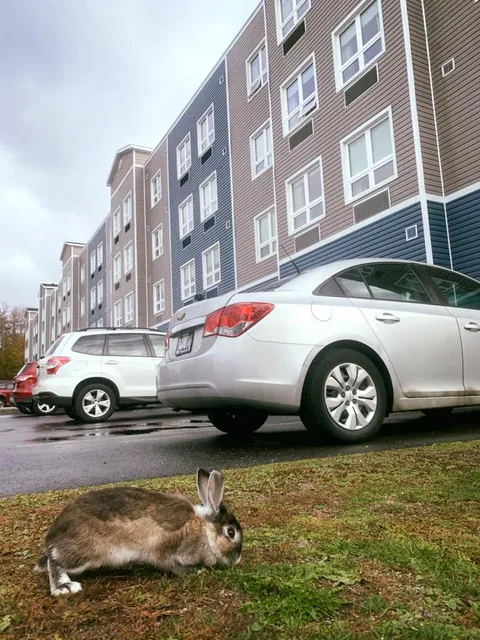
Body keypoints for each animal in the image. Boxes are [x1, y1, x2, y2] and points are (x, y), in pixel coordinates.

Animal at [34, 468, 242, 596]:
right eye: (231, 533)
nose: (238, 559)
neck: (203, 529)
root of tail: (52, 537)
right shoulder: (166, 549)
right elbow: (170, 565)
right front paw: (196, 571)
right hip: (86, 552)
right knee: (55, 560)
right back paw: (64, 586)